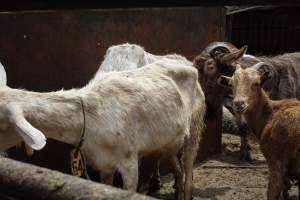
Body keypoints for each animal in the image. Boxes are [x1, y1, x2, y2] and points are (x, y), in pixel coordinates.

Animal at [0, 58, 204, 199]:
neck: (91, 117)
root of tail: (187, 63)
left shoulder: (129, 161)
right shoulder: (104, 164)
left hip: (195, 125)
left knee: (188, 169)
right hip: (169, 143)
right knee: (178, 169)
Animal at [218, 62, 300, 200]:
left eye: (256, 83)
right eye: (231, 84)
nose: (239, 104)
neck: (271, 113)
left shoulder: (276, 163)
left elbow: (271, 194)